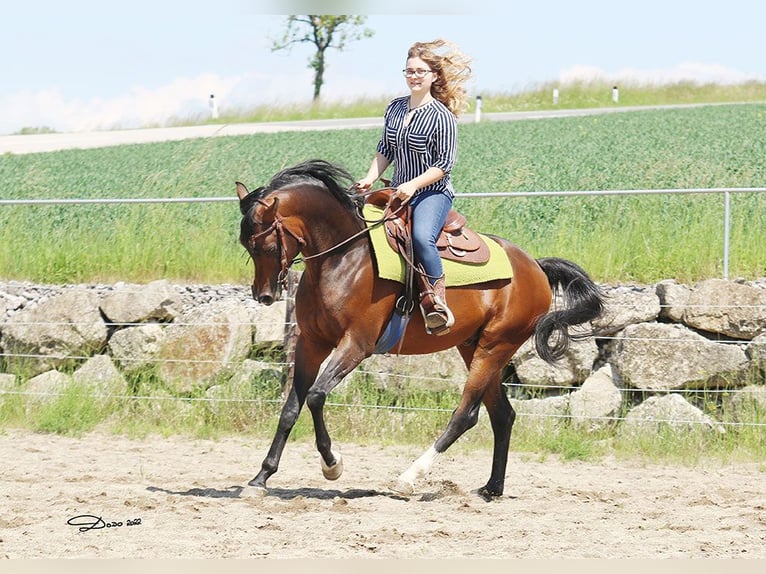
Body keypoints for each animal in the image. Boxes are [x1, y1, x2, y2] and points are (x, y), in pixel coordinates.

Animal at [236, 160, 608, 502]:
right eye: (246, 245)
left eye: (264, 245)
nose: (264, 295)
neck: (342, 257)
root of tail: (535, 266)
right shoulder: (312, 344)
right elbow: (291, 408)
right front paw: (260, 478)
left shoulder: (356, 345)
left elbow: (315, 397)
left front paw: (332, 464)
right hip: (474, 348)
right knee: (502, 414)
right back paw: (492, 488)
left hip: (495, 348)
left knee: (465, 415)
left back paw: (409, 478)